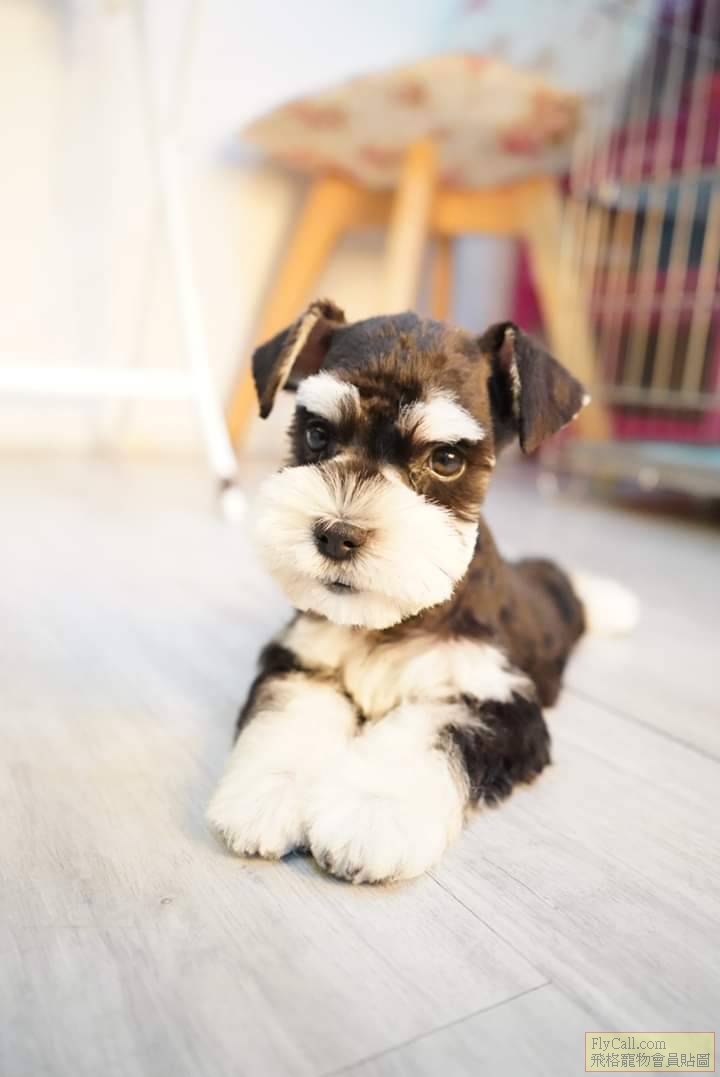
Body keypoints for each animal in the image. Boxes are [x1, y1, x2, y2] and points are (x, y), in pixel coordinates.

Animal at [208, 300, 637, 884]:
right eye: (317, 434)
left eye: (447, 459)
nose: (336, 535)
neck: (389, 620)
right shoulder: (302, 663)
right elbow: (288, 715)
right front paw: (266, 794)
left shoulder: (494, 701)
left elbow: (429, 732)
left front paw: (372, 815)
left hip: (555, 608)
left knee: (570, 587)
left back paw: (615, 602)